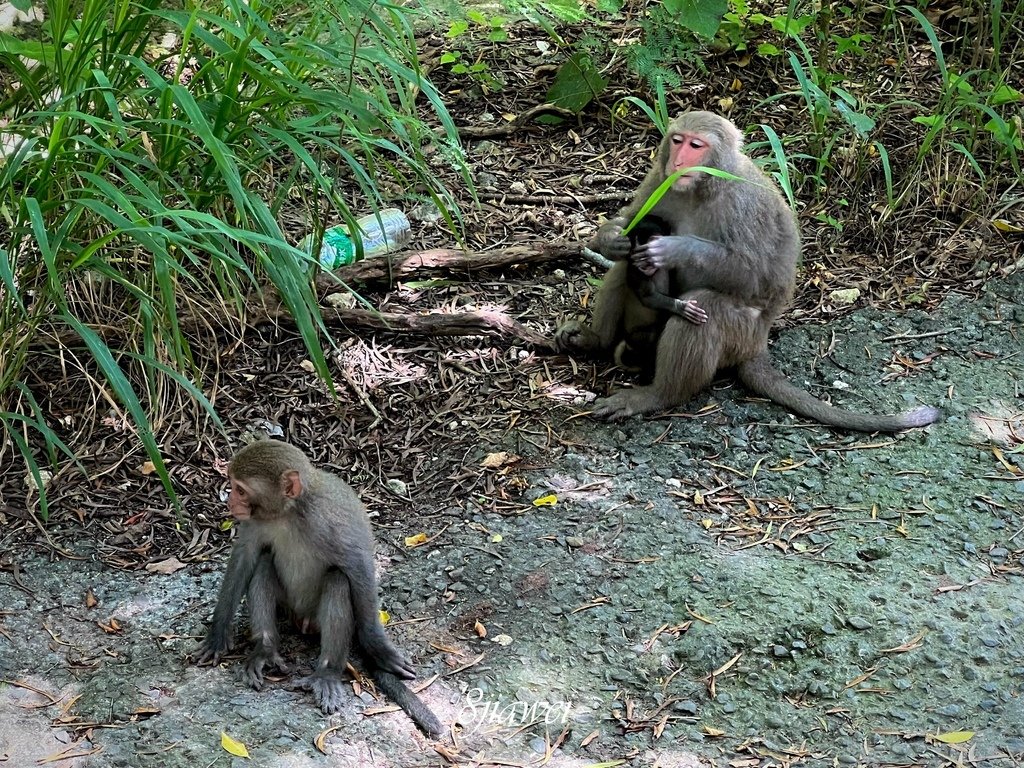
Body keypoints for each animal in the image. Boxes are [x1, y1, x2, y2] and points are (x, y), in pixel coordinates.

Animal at [195, 438, 444, 741]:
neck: (289, 512)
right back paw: (265, 649)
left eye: (241, 489)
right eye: (233, 486)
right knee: (265, 562)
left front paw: (377, 647)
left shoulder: (327, 520)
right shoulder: (256, 521)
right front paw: (218, 634)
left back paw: (327, 673)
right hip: (288, 608)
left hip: (314, 616)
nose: (231, 501)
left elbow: (358, 566)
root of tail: (302, 621)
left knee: (338, 579)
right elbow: (245, 557)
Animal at [557, 111, 937, 434]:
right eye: (677, 140)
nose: (677, 162)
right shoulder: (659, 179)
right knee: (626, 268)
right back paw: (596, 340)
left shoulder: (743, 204)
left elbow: (752, 274)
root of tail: (758, 342)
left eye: (696, 146)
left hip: (741, 332)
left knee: (705, 306)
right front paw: (612, 238)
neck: (703, 186)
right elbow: (631, 220)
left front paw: (675, 247)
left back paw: (658, 395)